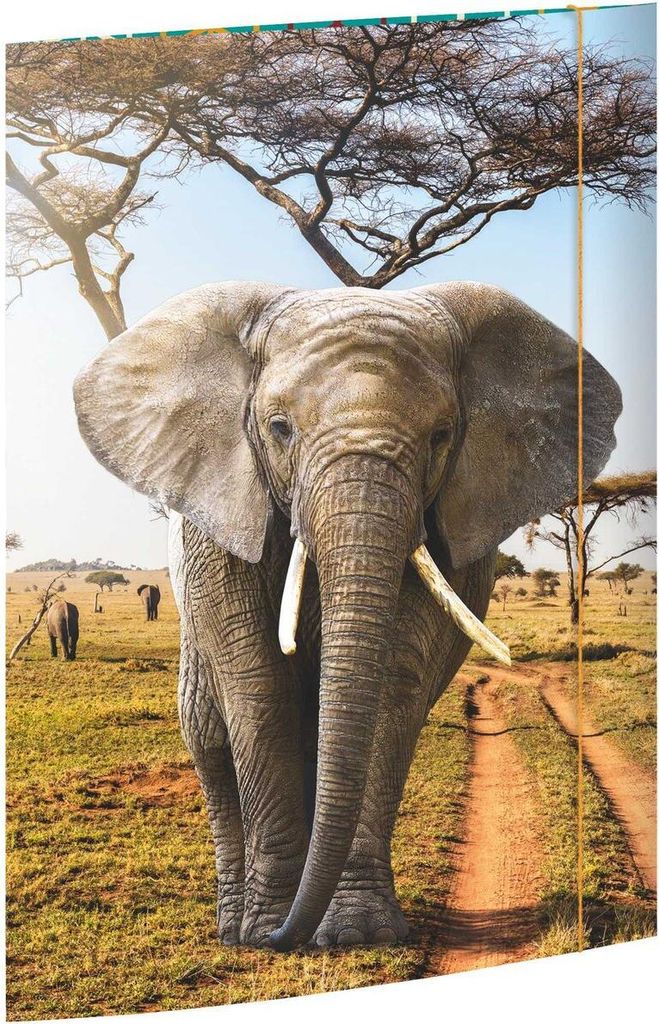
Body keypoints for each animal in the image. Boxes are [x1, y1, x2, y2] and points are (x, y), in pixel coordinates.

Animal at [73, 280, 621, 951]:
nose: (284, 935)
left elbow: (390, 688)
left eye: (442, 435)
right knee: (209, 736)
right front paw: (267, 930)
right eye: (279, 428)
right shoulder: (219, 524)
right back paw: (235, 926)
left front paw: (357, 933)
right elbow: (258, 689)